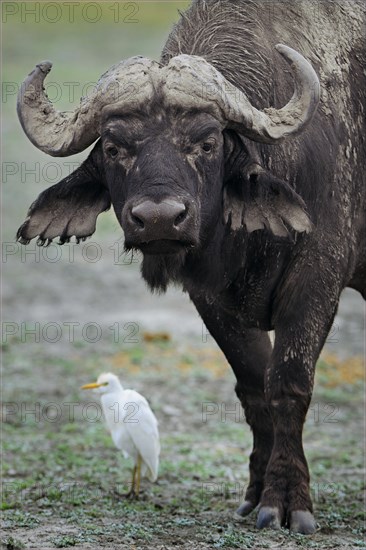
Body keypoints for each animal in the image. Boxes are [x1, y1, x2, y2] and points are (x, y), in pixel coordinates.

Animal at [15, 0, 364, 536]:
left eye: (206, 142)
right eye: (114, 147)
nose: (159, 218)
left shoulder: (318, 274)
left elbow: (287, 382)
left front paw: (287, 501)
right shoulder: (210, 296)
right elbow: (253, 388)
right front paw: (254, 495)